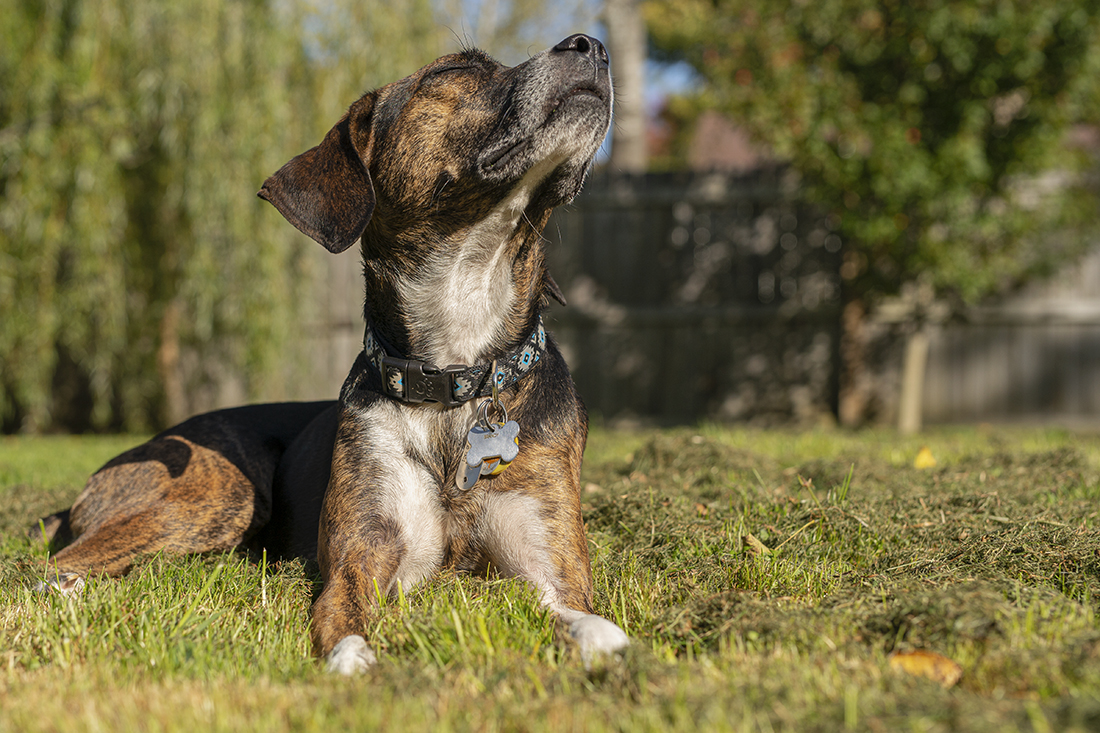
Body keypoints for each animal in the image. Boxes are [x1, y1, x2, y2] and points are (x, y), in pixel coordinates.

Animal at [34, 34, 629, 673]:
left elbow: (585, 620)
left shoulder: (548, 568)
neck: (456, 377)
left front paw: (612, 647)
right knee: (53, 567)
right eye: (453, 69)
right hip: (218, 492)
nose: (590, 44)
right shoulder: (362, 559)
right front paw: (356, 665)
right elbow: (343, 623)